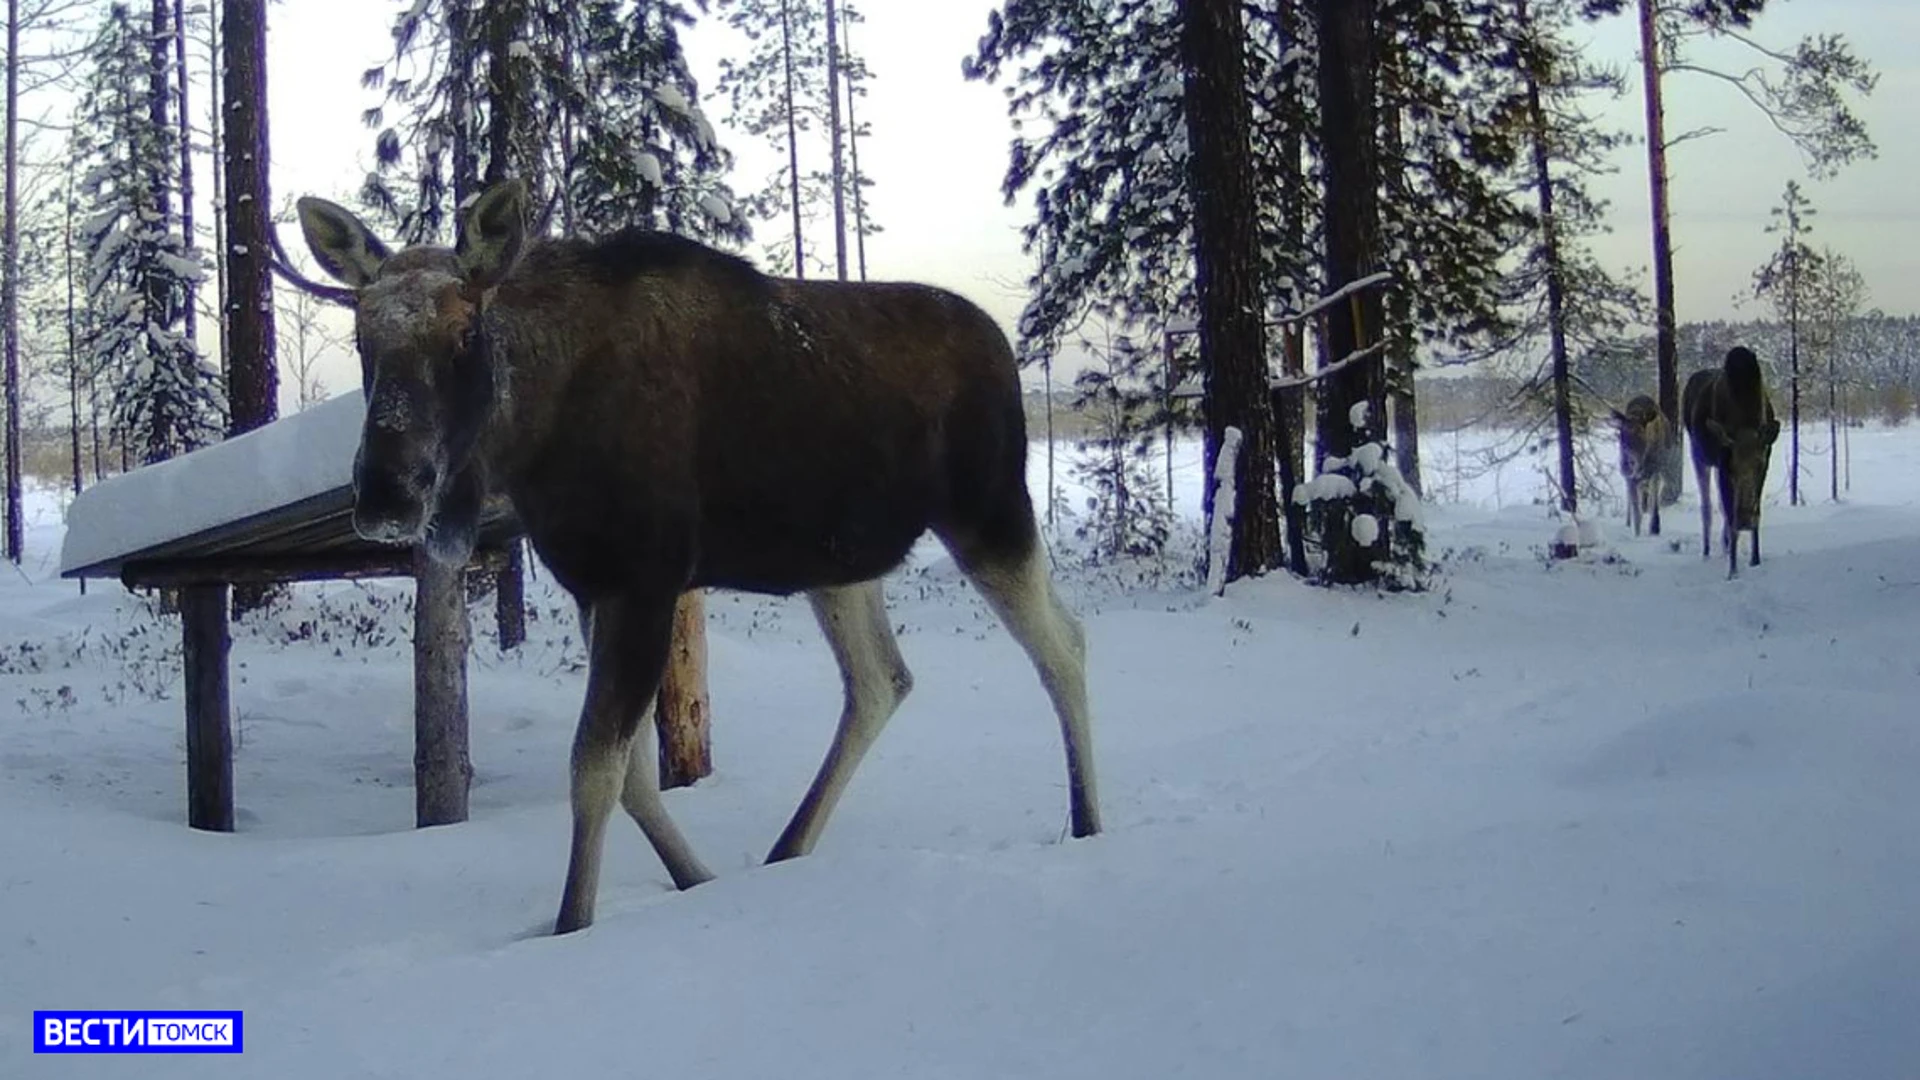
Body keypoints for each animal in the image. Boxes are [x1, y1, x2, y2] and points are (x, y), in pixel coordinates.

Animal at [291, 178, 1105, 933]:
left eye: (465, 336)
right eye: (364, 341)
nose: (385, 494)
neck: (535, 439)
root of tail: (1001, 344)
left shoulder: (644, 580)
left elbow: (594, 768)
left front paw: (571, 923)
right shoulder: (595, 585)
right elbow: (631, 776)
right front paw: (694, 879)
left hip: (988, 509)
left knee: (1062, 645)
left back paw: (1089, 822)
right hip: (840, 561)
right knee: (882, 681)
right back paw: (788, 848)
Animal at [1612, 393, 1674, 534]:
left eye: (1640, 433)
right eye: (1621, 434)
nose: (1627, 464)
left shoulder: (1656, 470)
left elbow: (1653, 502)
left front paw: (1655, 528)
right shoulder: (1631, 477)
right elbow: (1636, 513)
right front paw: (1637, 533)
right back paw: (1628, 522)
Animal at [1681, 349, 1781, 576]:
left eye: (1759, 465)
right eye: (1733, 467)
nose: (1744, 520)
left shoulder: (1765, 461)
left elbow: (1756, 511)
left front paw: (1755, 559)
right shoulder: (1722, 463)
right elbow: (1728, 511)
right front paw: (1732, 571)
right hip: (1698, 455)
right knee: (1707, 505)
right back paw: (1707, 551)